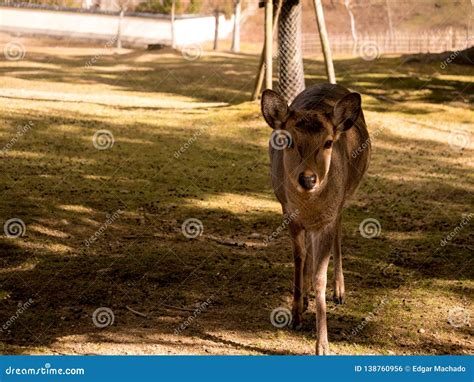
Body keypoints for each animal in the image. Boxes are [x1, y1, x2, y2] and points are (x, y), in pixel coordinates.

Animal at [262, 83, 372, 356]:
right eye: (288, 139)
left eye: (328, 142)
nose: (308, 179)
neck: (308, 206)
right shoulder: (288, 213)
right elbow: (298, 259)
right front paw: (296, 314)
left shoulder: (327, 218)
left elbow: (320, 275)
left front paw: (322, 345)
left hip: (343, 198)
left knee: (339, 234)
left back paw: (339, 291)